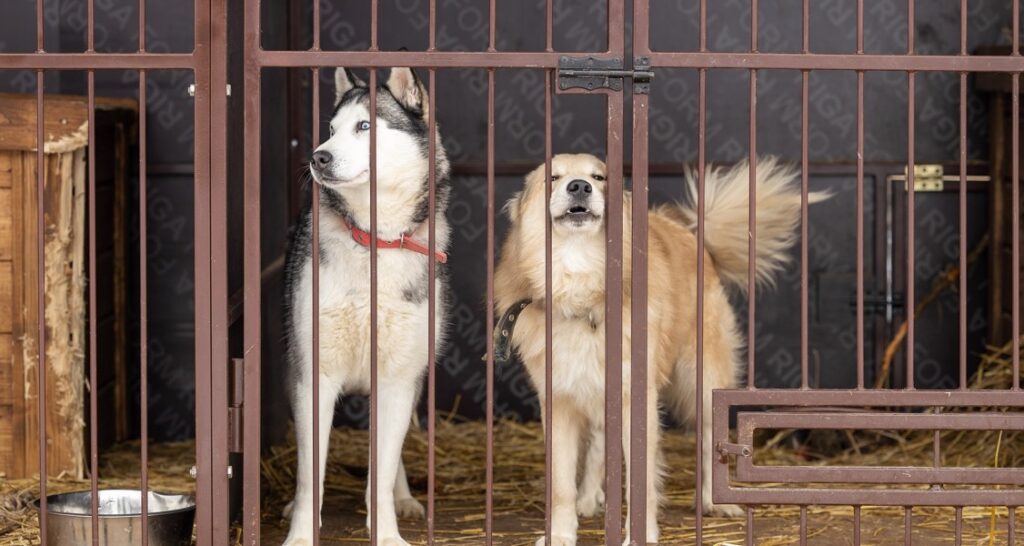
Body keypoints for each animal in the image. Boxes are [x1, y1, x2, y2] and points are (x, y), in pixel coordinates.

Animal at [284, 68, 452, 544]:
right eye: (331, 129)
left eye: (364, 127)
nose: (318, 158)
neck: (376, 240)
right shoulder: (312, 376)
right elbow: (310, 475)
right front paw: (301, 533)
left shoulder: (399, 381)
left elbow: (381, 471)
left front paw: (388, 532)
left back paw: (405, 498)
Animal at [491, 151, 827, 540]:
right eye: (553, 177)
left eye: (599, 177)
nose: (579, 186)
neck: (581, 287)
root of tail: (693, 235)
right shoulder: (560, 400)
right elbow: (561, 484)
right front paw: (560, 536)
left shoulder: (637, 398)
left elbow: (641, 478)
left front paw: (640, 535)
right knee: (599, 444)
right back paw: (590, 498)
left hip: (703, 379)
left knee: (712, 440)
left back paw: (714, 502)